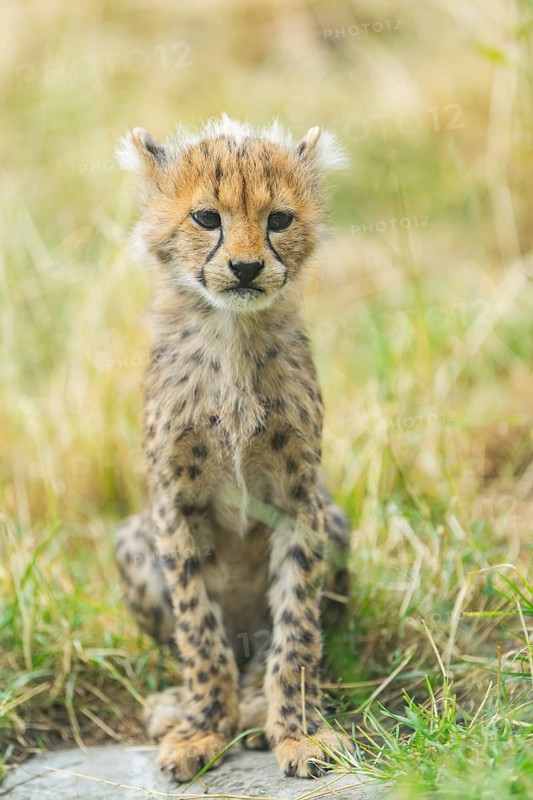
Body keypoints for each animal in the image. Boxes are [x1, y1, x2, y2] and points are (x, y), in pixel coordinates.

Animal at [114, 115, 351, 782]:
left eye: (279, 219)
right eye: (206, 218)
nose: (246, 268)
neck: (230, 331)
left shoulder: (301, 503)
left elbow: (296, 630)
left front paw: (298, 732)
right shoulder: (175, 506)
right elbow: (199, 632)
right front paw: (200, 729)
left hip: (336, 521)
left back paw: (252, 704)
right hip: (134, 540)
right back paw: (179, 705)